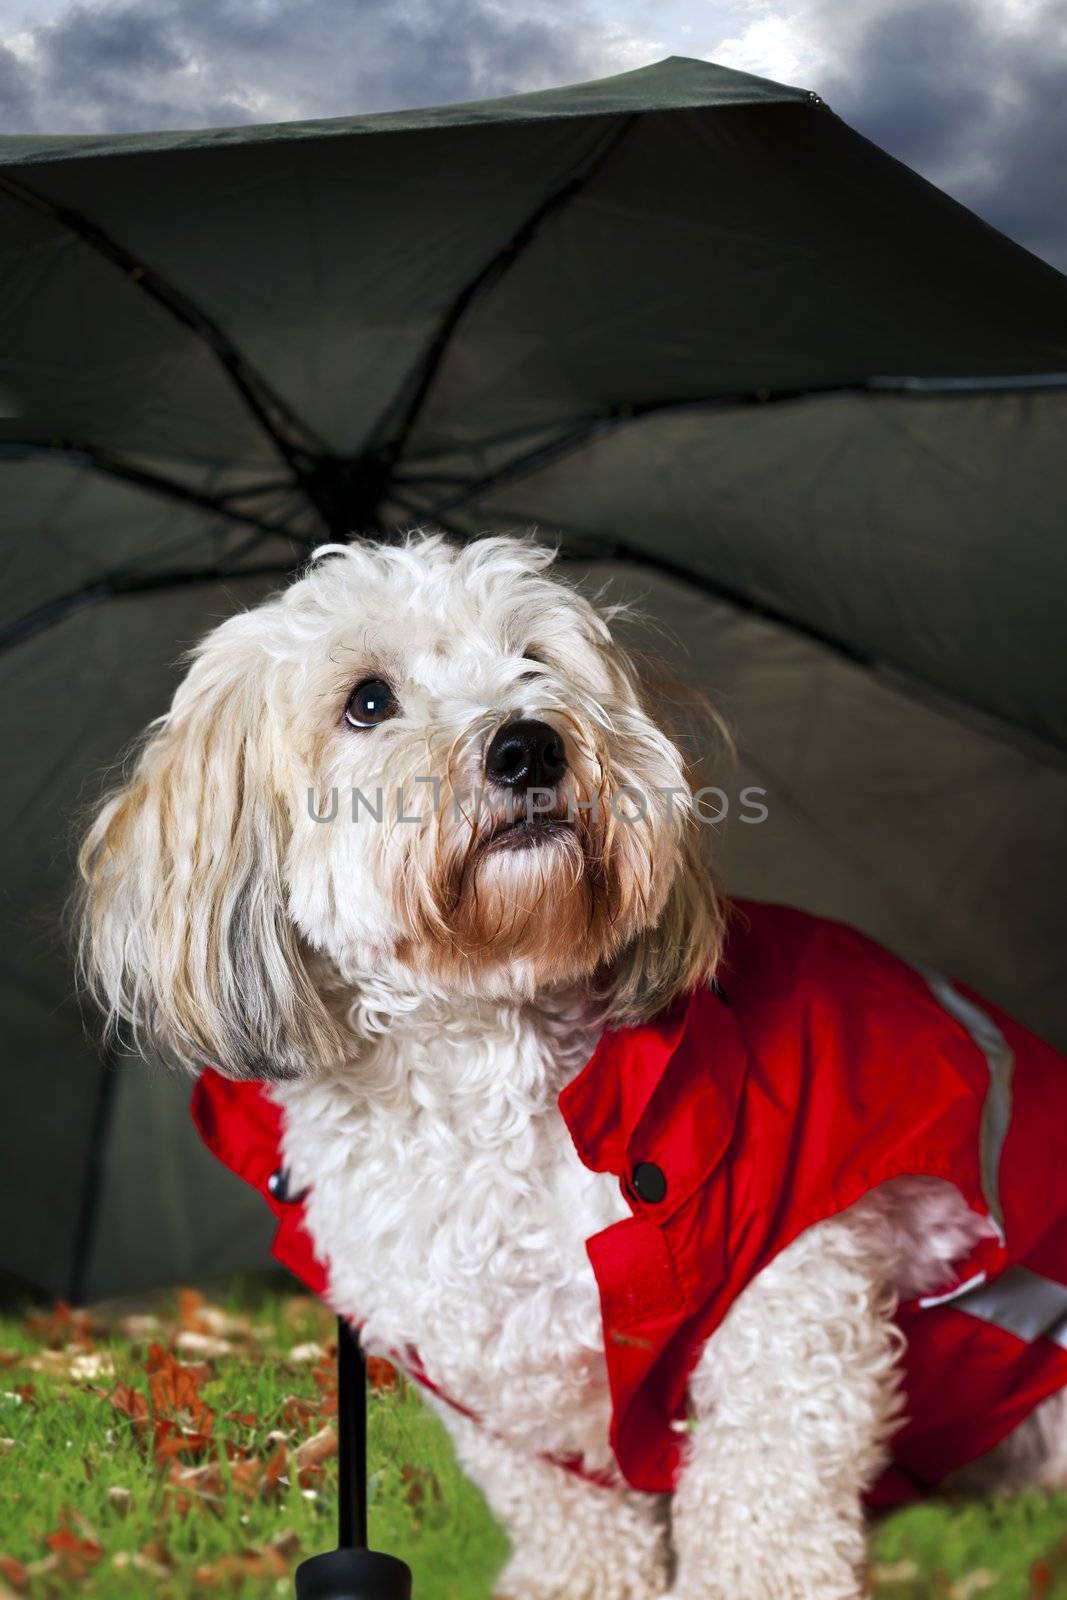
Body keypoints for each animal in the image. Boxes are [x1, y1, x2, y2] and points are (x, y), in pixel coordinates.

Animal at [79, 537, 1067, 1600]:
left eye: (535, 662)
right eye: (368, 700)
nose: (528, 746)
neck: (485, 1066)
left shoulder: (790, 1294)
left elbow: (760, 1500)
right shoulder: (506, 1381)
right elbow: (571, 1518)